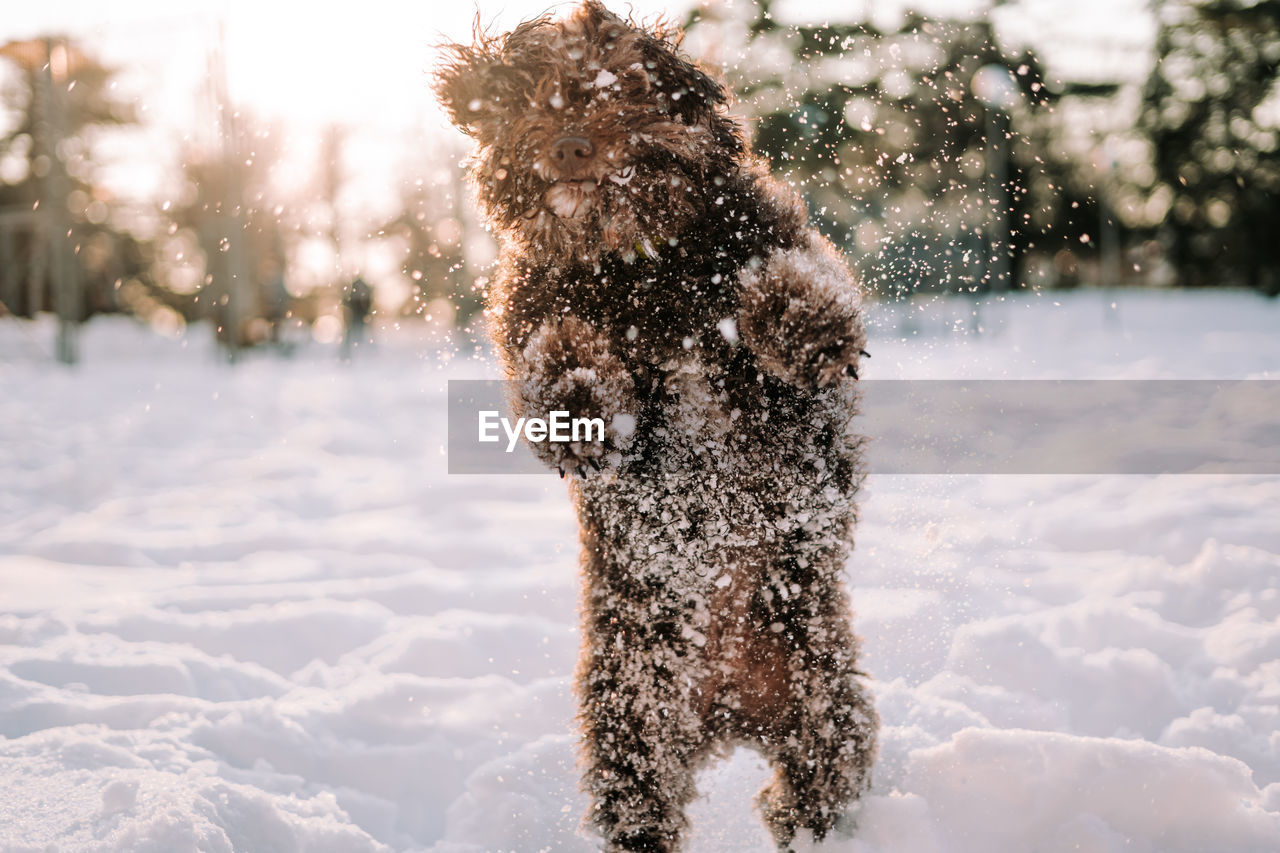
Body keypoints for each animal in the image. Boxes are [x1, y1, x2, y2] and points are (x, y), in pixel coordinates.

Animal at [435, 3, 875, 845]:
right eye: (531, 97)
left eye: (620, 87)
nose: (570, 144)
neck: (635, 256)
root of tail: (730, 708)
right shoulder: (533, 311)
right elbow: (557, 350)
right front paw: (579, 415)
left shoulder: (769, 241)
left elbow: (792, 278)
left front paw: (808, 331)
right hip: (629, 711)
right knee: (642, 802)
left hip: (822, 694)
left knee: (819, 777)